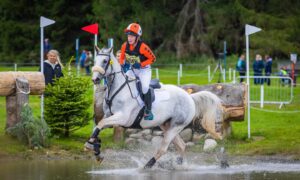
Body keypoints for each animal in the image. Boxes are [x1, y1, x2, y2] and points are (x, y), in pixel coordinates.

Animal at [85, 46, 223, 169]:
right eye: (95, 61)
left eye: (105, 61)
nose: (95, 79)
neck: (118, 89)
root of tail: (189, 97)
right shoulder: (110, 116)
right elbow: (98, 126)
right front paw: (95, 150)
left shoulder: (123, 118)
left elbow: (100, 123)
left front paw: (91, 146)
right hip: (167, 125)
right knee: (182, 145)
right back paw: (179, 164)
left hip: (175, 127)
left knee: (163, 149)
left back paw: (147, 166)